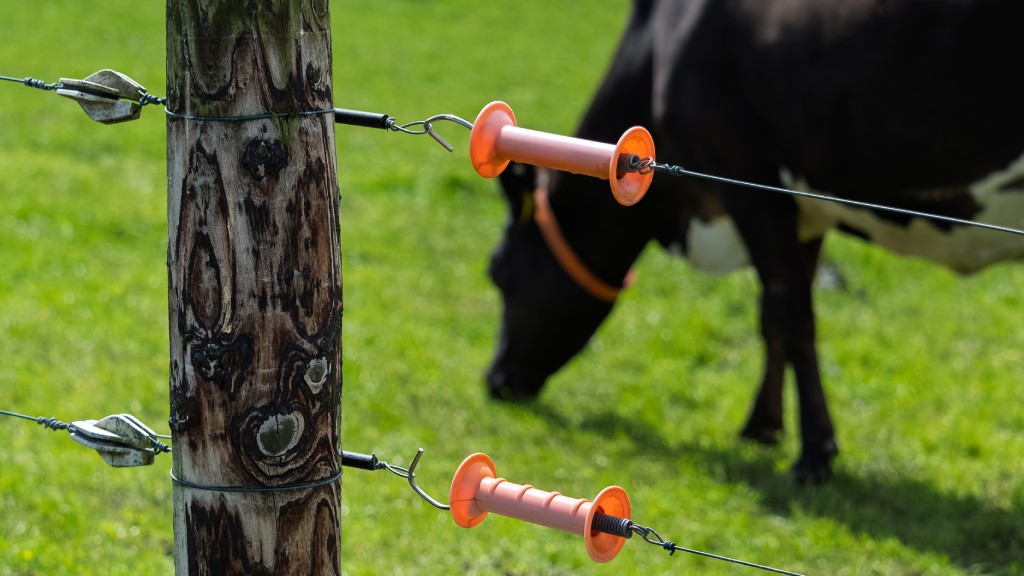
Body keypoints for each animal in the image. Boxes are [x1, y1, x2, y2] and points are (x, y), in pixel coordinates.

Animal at [485, 0, 1024, 482]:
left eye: (497, 274)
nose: (495, 380)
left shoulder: (750, 183)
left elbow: (793, 315)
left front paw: (815, 455)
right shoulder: (804, 209)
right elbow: (771, 318)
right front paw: (762, 428)